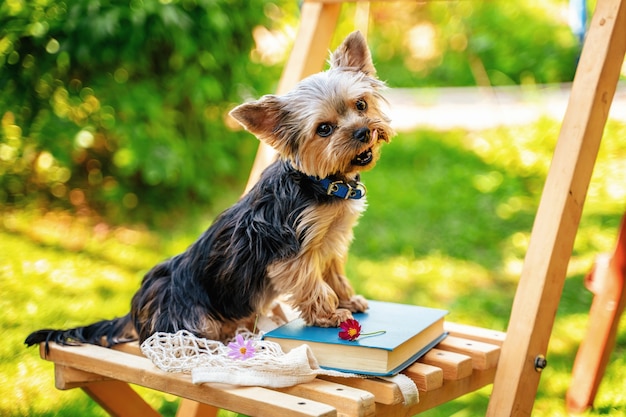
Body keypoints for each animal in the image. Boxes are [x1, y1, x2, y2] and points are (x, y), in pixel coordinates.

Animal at [28, 30, 394, 350]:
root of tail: (134, 312)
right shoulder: (292, 253)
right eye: (324, 129)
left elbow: (333, 275)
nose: (363, 132)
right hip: (186, 318)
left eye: (361, 105)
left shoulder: (329, 241)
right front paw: (331, 314)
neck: (323, 182)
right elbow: (314, 285)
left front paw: (348, 299)